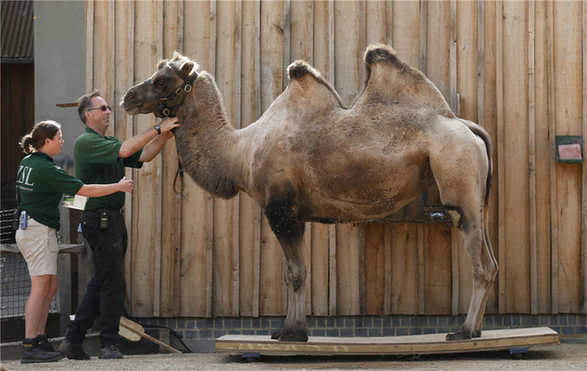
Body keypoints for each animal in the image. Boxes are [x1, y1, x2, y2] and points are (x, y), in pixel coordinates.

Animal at [121, 44, 498, 342]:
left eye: (162, 80)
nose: (127, 97)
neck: (240, 152)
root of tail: (468, 127)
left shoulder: (280, 209)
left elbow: (295, 273)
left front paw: (293, 332)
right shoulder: (294, 214)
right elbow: (295, 274)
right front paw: (288, 330)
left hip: (458, 178)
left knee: (480, 262)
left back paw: (464, 332)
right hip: (476, 199)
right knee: (491, 260)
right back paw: (476, 329)